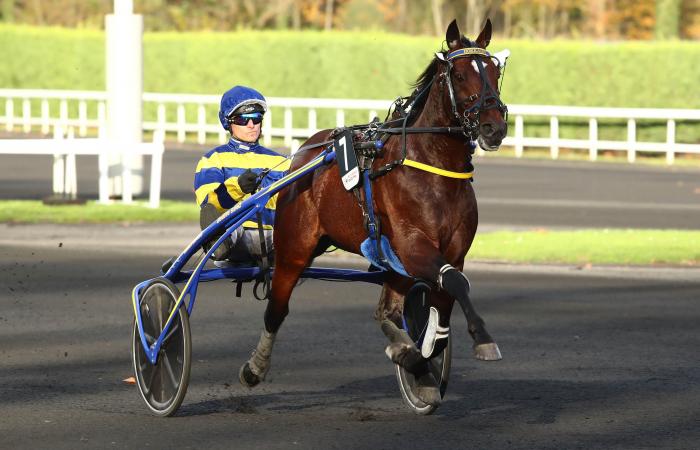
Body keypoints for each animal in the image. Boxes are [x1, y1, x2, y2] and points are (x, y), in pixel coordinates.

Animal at [238, 18, 506, 408]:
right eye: (458, 74)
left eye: (495, 71)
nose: (493, 127)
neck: (433, 169)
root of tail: (306, 152)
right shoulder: (413, 244)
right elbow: (455, 283)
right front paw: (483, 339)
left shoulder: (450, 252)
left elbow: (443, 302)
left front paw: (421, 357)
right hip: (295, 246)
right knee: (276, 308)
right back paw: (254, 367)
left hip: (386, 256)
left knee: (387, 311)